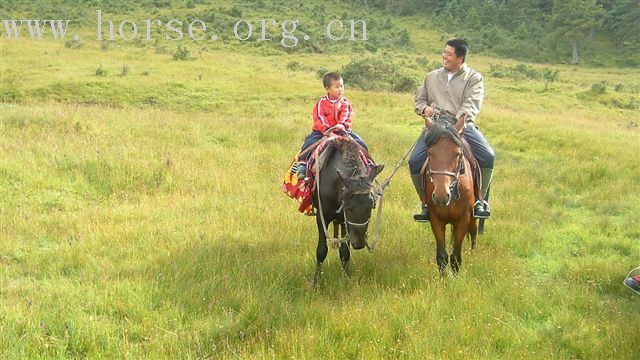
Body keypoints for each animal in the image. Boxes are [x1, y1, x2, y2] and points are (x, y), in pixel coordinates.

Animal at [312, 136, 382, 286]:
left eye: (372, 206)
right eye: (348, 207)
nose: (359, 243)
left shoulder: (344, 221)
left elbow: (345, 252)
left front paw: (346, 279)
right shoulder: (322, 217)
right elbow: (321, 250)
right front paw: (315, 283)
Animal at [422, 115, 478, 276]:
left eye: (457, 153)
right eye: (430, 153)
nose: (441, 196)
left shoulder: (463, 219)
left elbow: (456, 257)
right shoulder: (436, 219)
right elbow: (442, 256)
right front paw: (443, 279)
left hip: (473, 217)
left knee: (474, 232)